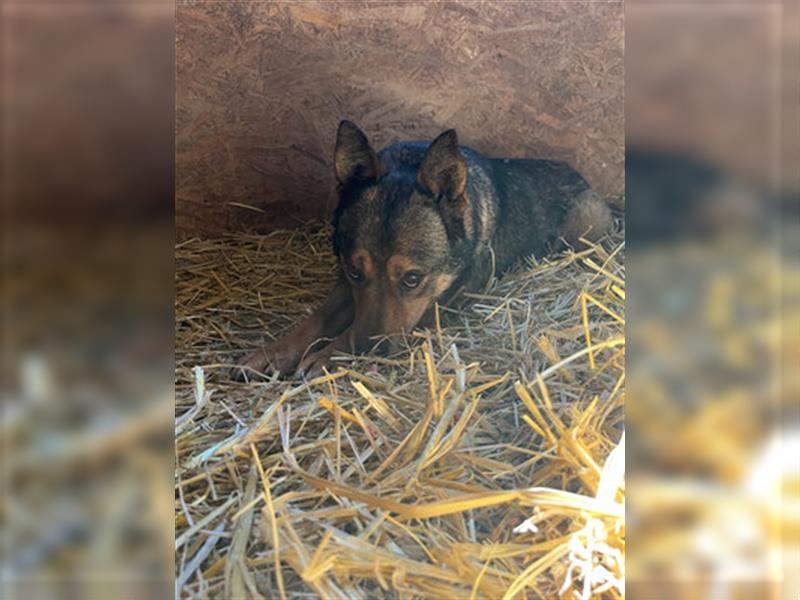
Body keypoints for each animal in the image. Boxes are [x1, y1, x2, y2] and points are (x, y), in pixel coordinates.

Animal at [233, 119, 612, 378]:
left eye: (412, 279)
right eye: (356, 272)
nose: (368, 352)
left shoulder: (440, 304)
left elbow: (349, 328)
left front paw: (329, 354)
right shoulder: (345, 284)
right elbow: (318, 318)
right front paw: (272, 353)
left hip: (583, 222)